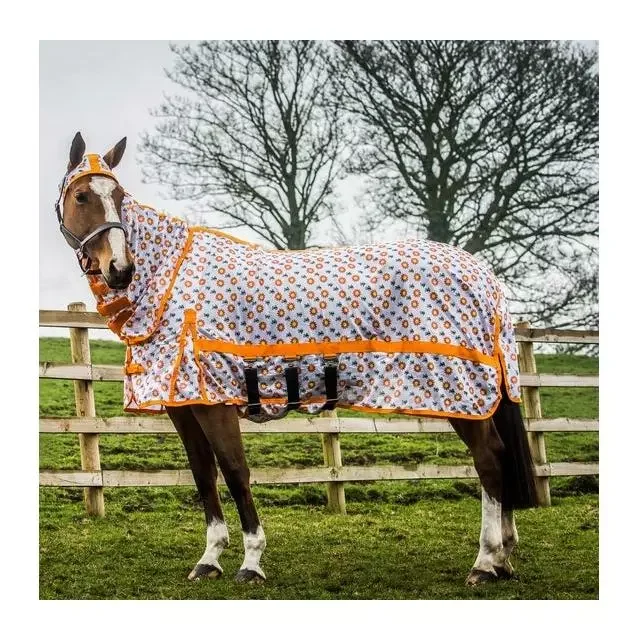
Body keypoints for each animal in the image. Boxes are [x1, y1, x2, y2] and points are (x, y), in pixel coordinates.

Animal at [54, 132, 538, 587]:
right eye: (82, 196)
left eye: (118, 196)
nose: (121, 269)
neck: (171, 280)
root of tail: (485, 277)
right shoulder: (184, 406)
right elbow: (203, 475)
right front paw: (209, 559)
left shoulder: (215, 404)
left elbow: (235, 471)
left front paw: (251, 562)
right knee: (500, 460)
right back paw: (504, 558)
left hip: (465, 396)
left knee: (490, 460)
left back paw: (485, 562)